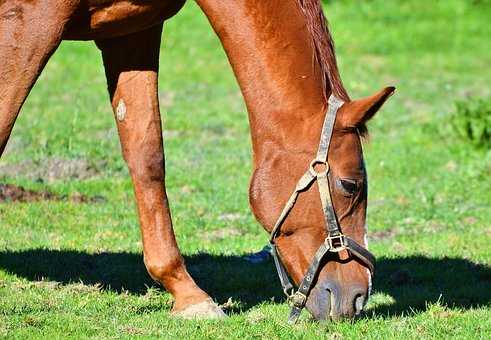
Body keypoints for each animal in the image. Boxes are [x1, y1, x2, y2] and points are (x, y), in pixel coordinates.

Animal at [0, 0, 394, 320]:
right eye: (350, 185)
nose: (358, 297)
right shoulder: (30, 21)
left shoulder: (131, 31)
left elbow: (147, 155)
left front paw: (187, 294)